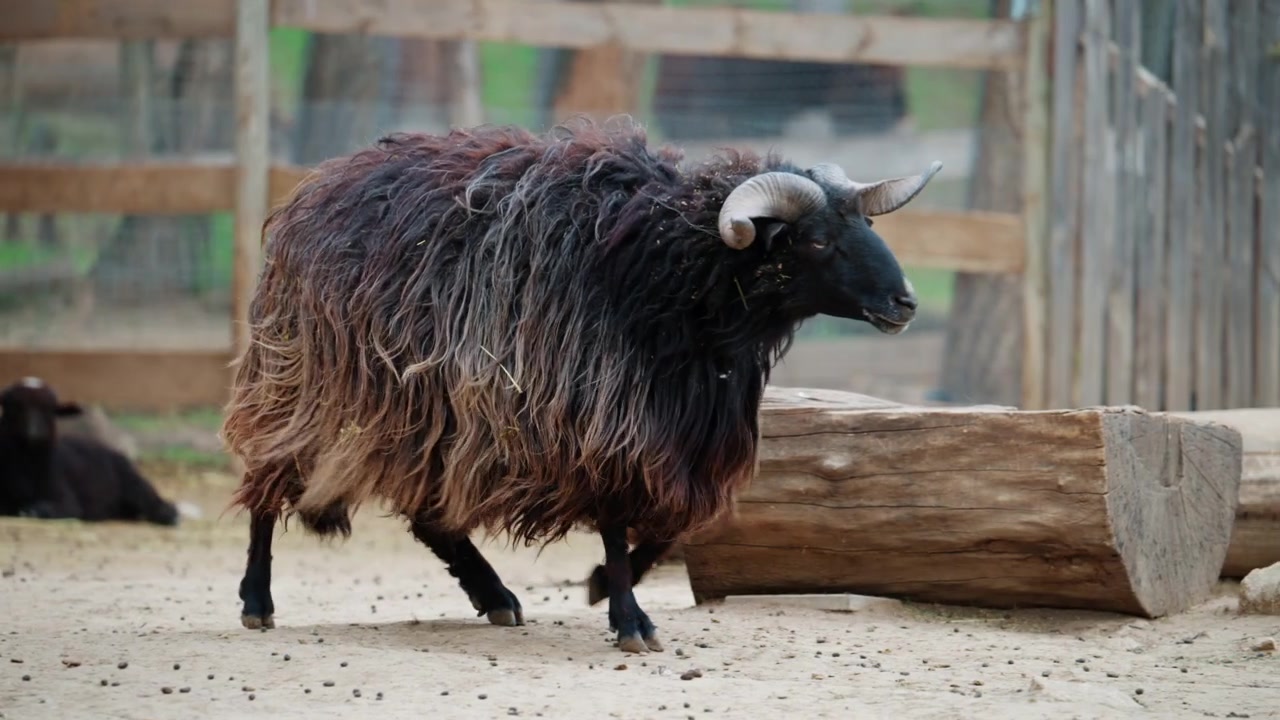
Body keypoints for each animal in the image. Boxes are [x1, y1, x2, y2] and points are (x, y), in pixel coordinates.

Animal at [0, 376, 180, 526]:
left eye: (50, 410)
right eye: (15, 406)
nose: (35, 431)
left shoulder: (66, 501)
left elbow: (40, 509)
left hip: (131, 480)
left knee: (151, 500)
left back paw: (169, 516)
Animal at [220, 116, 940, 653]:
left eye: (866, 225)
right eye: (815, 241)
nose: (905, 302)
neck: (669, 270)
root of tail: (320, 185)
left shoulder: (686, 429)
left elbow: (671, 529)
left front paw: (599, 587)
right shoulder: (599, 413)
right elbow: (618, 520)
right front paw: (628, 617)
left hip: (425, 404)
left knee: (428, 509)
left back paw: (494, 596)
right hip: (314, 379)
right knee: (269, 473)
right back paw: (257, 600)